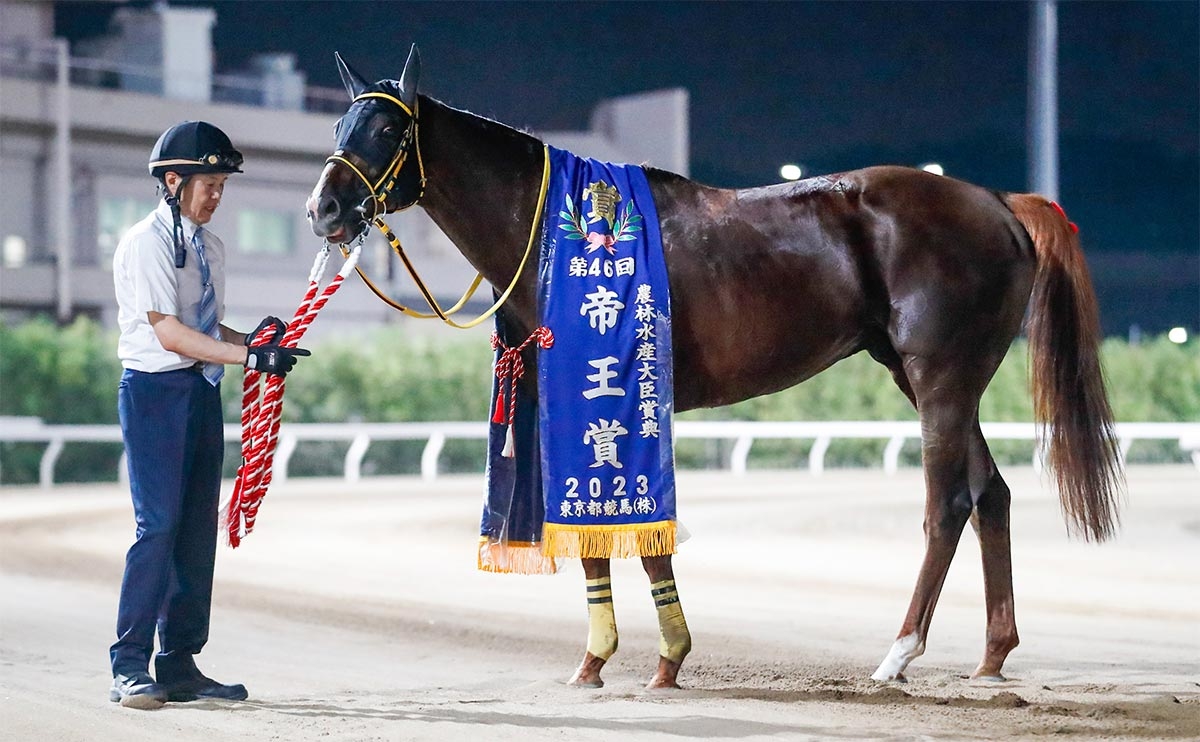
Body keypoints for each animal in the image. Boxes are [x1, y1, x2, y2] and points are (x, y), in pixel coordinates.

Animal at [302, 49, 1123, 686]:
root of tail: (1000, 202)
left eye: (386, 128)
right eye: (340, 126)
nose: (325, 209)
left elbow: (641, 529)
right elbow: (593, 527)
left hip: (940, 376)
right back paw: (992, 654)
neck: (566, 236)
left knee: (949, 502)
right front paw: (596, 659)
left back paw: (898, 653)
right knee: (992, 495)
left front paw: (667, 656)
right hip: (930, 378)